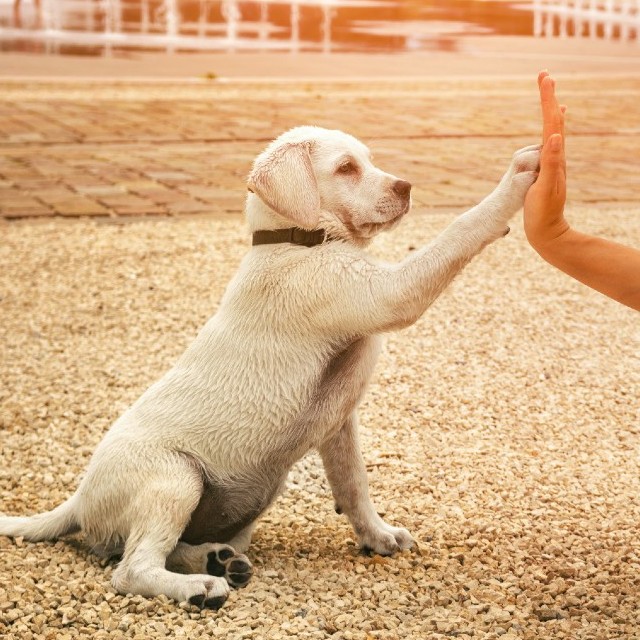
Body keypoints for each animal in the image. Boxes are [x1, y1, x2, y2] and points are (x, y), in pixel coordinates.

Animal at [0, 126, 540, 608]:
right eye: (347, 168)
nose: (406, 187)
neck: (295, 241)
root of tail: (78, 499)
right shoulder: (388, 293)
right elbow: (458, 231)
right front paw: (516, 180)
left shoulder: (340, 423)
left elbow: (354, 485)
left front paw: (378, 535)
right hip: (175, 478)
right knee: (131, 570)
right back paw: (199, 587)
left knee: (165, 550)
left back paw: (217, 560)